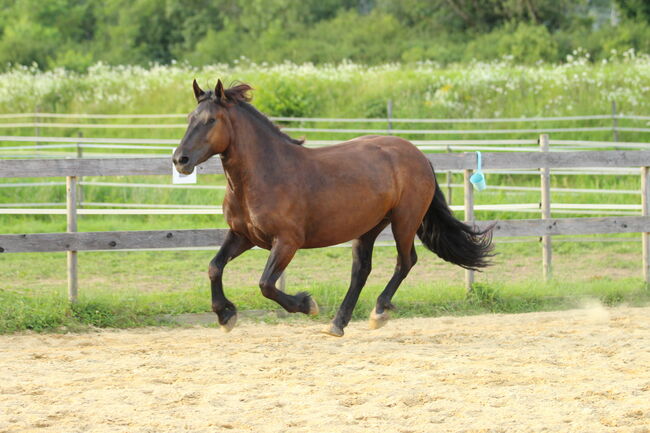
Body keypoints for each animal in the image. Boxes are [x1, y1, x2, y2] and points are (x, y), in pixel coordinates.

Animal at [172, 81, 492, 338]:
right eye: (190, 119)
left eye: (211, 120)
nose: (180, 160)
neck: (264, 174)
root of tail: (418, 155)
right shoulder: (243, 235)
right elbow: (215, 267)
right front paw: (225, 315)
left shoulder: (287, 242)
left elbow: (266, 284)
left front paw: (306, 304)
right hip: (368, 227)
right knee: (361, 270)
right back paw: (338, 323)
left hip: (405, 221)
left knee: (405, 262)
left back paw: (378, 312)